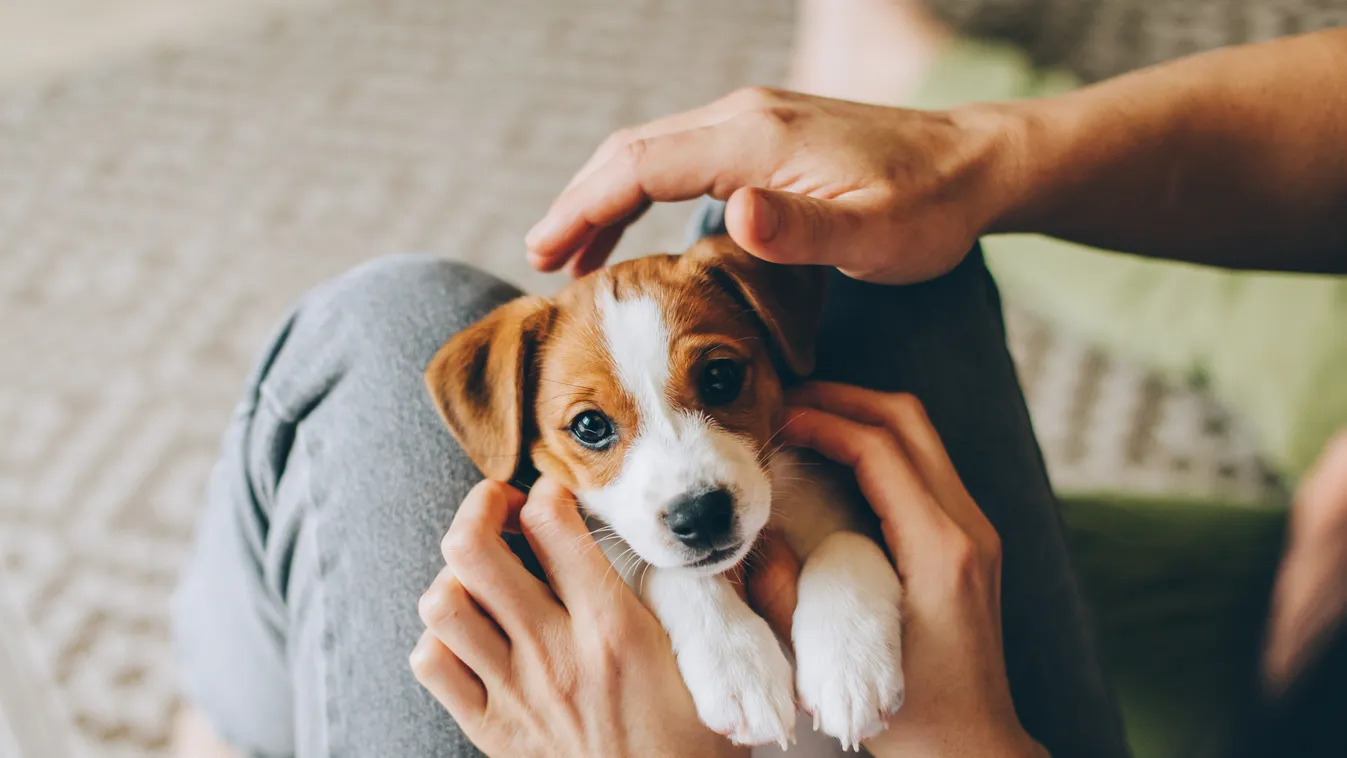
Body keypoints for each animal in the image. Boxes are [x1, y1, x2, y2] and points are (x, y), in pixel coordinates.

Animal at [420, 235, 905, 753]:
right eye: (589, 425)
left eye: (720, 377)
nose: (702, 515)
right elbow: (668, 573)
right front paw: (738, 667)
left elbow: (847, 540)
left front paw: (849, 663)